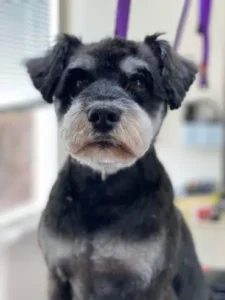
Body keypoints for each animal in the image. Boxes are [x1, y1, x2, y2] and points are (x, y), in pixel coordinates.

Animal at [25, 33, 212, 300]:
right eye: (79, 80)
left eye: (138, 81)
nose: (103, 114)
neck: (104, 190)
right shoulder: (58, 276)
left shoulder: (150, 284)